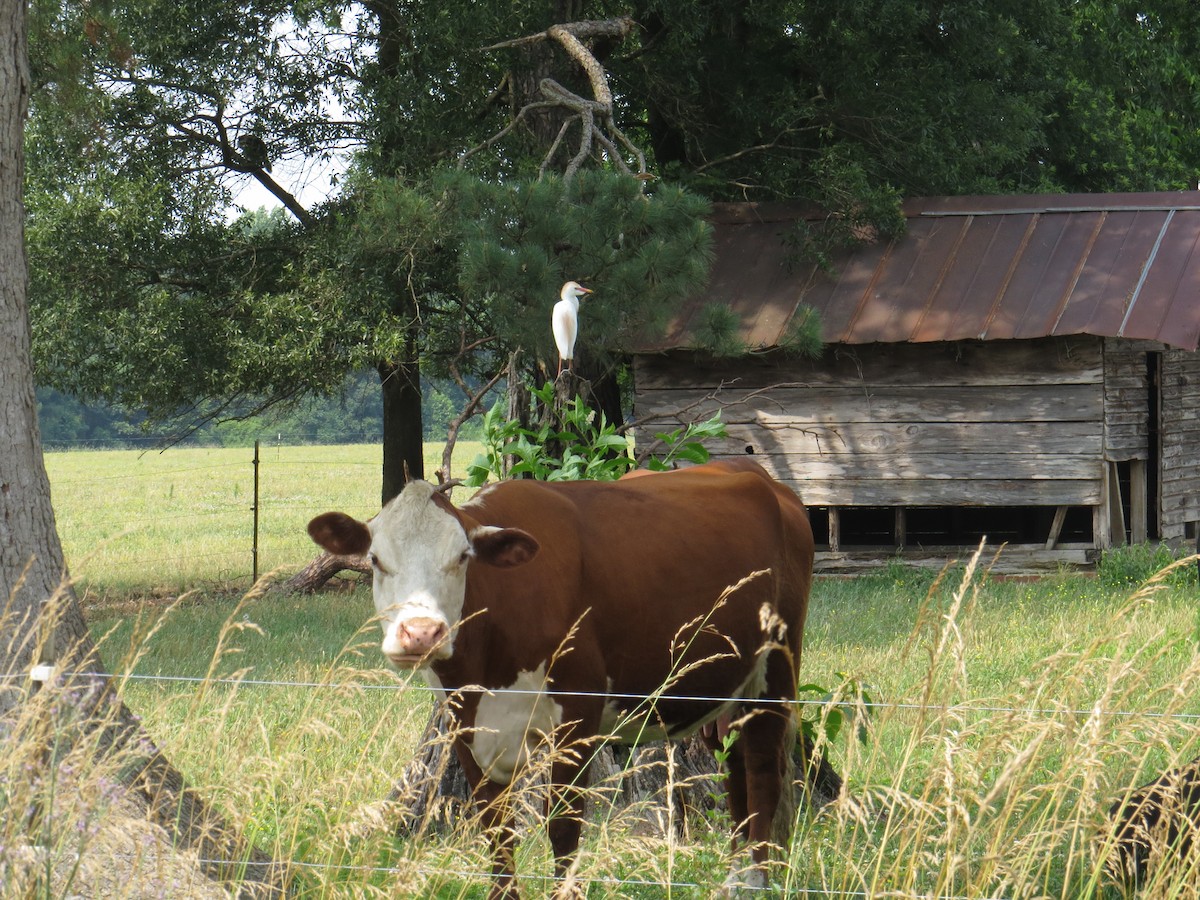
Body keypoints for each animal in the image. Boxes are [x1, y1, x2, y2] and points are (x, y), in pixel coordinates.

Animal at [308, 459, 814, 898]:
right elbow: (496, 831)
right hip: (724, 689)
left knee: (763, 770)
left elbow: (564, 829)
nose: (421, 633)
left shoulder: (578, 714)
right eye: (375, 559)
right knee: (736, 770)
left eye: (462, 557)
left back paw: (755, 882)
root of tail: (759, 476)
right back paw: (734, 878)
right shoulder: (466, 725)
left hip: (775, 672)